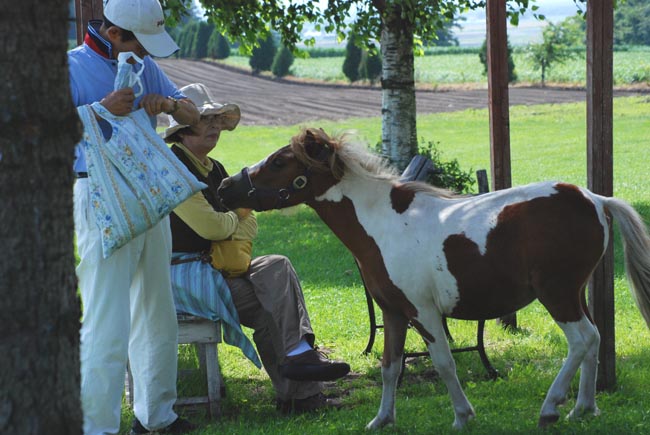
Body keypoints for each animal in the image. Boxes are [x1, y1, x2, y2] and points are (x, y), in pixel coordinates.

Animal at [219, 127, 648, 430]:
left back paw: (551, 408)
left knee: (582, 340)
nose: (225, 187)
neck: (383, 224)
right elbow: (390, 366)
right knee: (594, 340)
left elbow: (443, 363)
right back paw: (583, 408)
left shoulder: (422, 313)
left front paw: (462, 416)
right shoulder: (393, 313)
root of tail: (596, 200)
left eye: (280, 162)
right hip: (575, 294)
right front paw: (382, 420)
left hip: (556, 294)